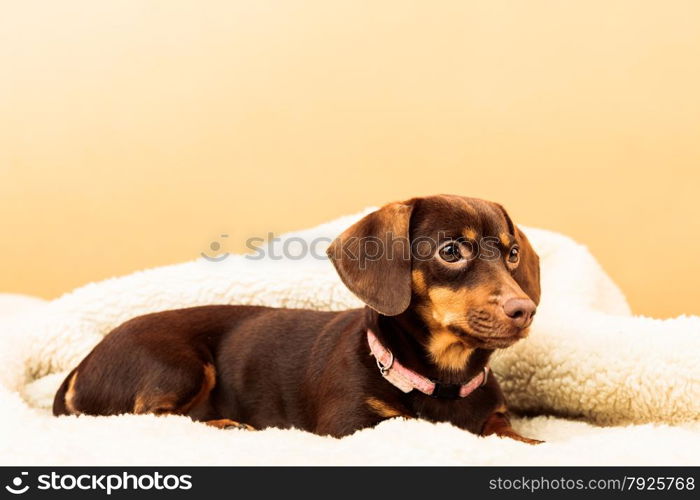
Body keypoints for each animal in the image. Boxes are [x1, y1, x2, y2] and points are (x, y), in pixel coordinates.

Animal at [54, 193, 544, 444]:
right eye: (450, 251)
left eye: (512, 253)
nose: (525, 310)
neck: (441, 379)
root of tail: (80, 368)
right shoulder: (350, 427)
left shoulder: (493, 415)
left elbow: (502, 430)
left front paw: (531, 443)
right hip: (178, 365)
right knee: (152, 416)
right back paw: (227, 426)